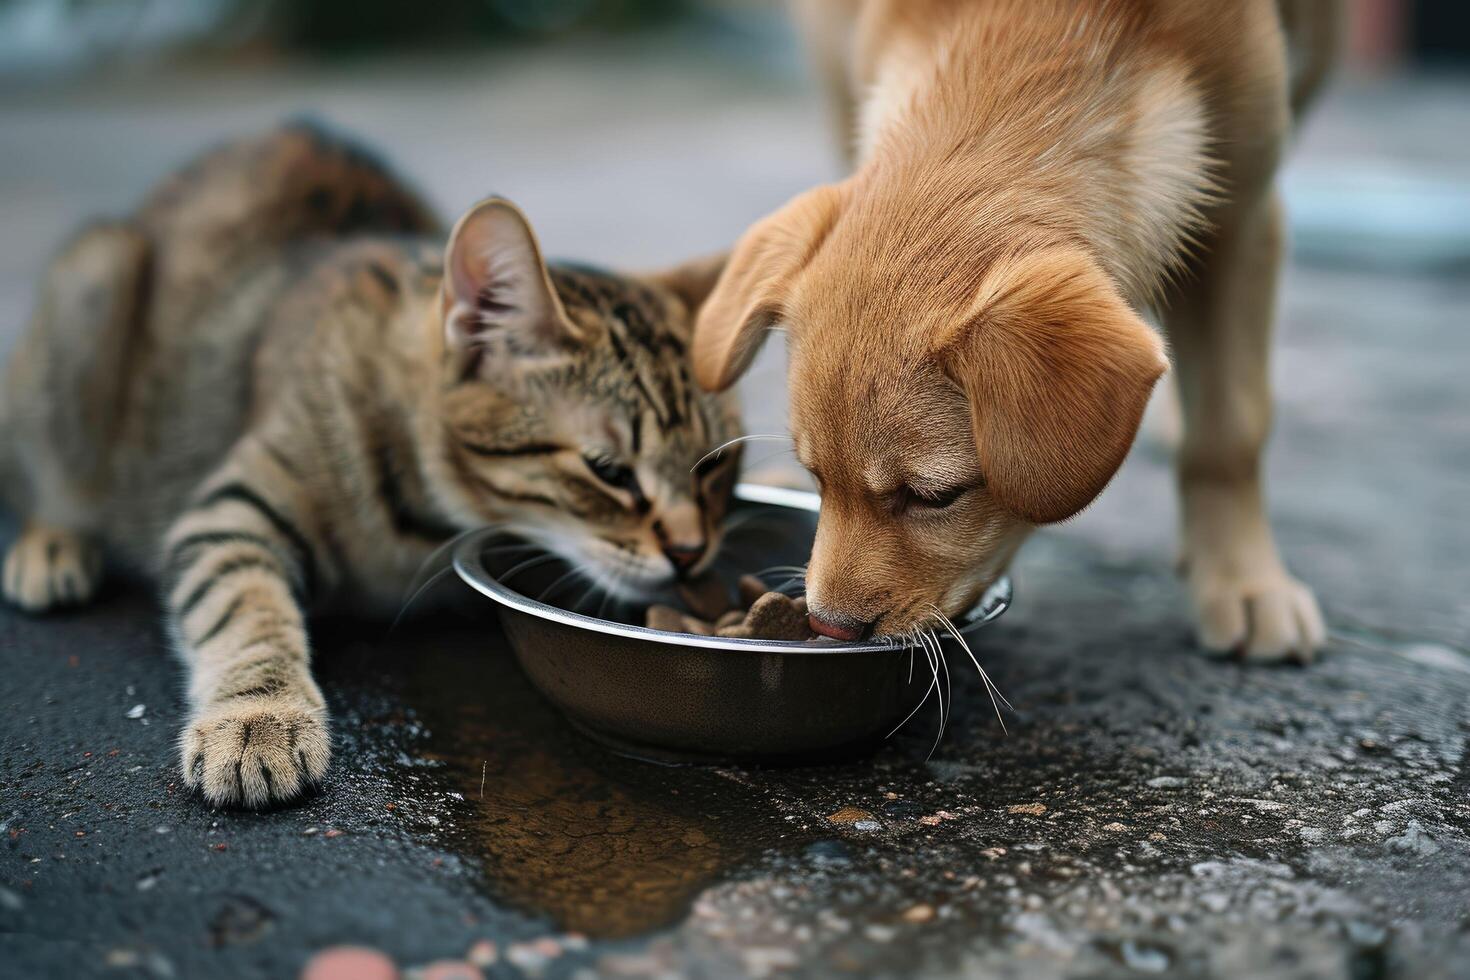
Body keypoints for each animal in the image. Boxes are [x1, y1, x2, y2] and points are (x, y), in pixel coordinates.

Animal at [0, 122, 740, 811]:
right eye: (608, 470)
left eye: (716, 468)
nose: (691, 552)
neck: (427, 526)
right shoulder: (230, 511)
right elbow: (245, 606)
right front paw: (258, 717)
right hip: (93, 285)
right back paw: (53, 544)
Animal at [693, 1, 1340, 658]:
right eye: (816, 478)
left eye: (935, 497)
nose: (830, 629)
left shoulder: (1246, 210)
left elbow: (1228, 432)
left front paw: (1245, 581)